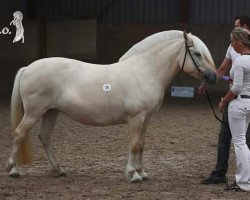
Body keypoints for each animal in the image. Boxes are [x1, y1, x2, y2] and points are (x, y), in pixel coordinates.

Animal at [5, 30, 217, 182]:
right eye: (197, 54)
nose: (213, 77)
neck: (145, 70)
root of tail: (29, 67)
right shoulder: (136, 118)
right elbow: (134, 145)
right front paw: (133, 174)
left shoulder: (146, 119)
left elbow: (141, 145)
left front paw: (142, 172)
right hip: (33, 113)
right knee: (19, 134)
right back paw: (13, 169)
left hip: (51, 112)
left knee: (45, 137)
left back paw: (58, 169)